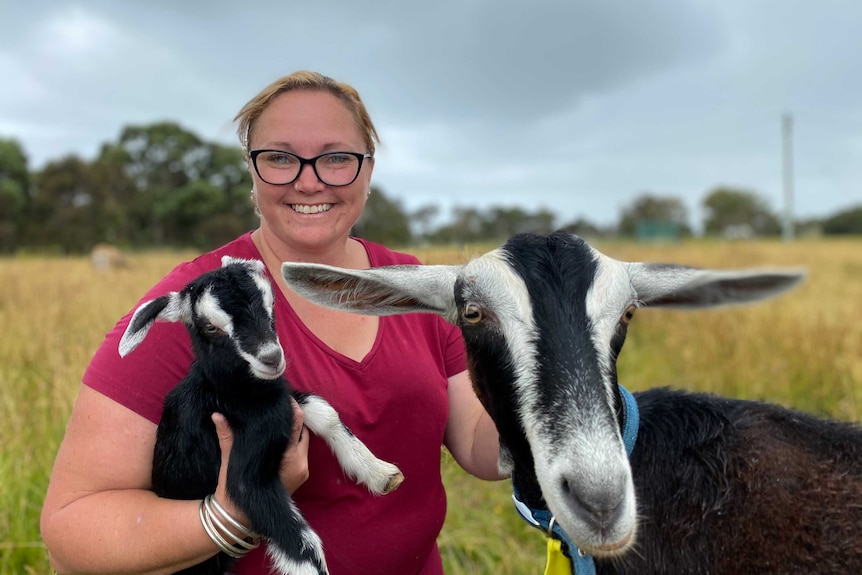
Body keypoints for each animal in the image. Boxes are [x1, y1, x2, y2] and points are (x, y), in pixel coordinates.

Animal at [118, 258, 404, 575]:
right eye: (210, 327)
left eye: (272, 303)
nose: (271, 358)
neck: (230, 397)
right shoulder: (246, 479)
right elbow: (303, 546)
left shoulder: (284, 403)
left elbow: (323, 411)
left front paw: (380, 473)